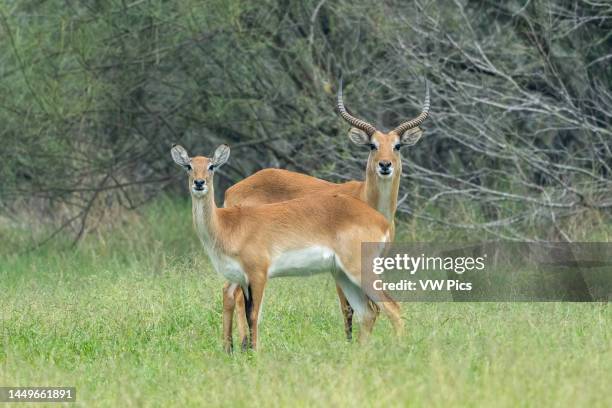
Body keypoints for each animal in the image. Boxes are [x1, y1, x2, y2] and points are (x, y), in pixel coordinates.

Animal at [171, 143, 402, 350]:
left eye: (211, 166)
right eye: (189, 166)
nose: (199, 183)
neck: (228, 224)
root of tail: (382, 221)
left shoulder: (258, 275)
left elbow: (254, 315)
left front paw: (254, 355)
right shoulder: (242, 279)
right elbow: (246, 312)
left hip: (360, 271)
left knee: (393, 307)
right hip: (343, 275)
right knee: (368, 313)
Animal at [221, 81, 430, 350]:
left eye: (398, 145)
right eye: (372, 145)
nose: (385, 165)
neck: (365, 197)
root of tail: (233, 190)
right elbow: (350, 309)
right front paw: (350, 342)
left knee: (229, 293)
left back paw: (231, 348)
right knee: (236, 296)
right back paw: (243, 344)